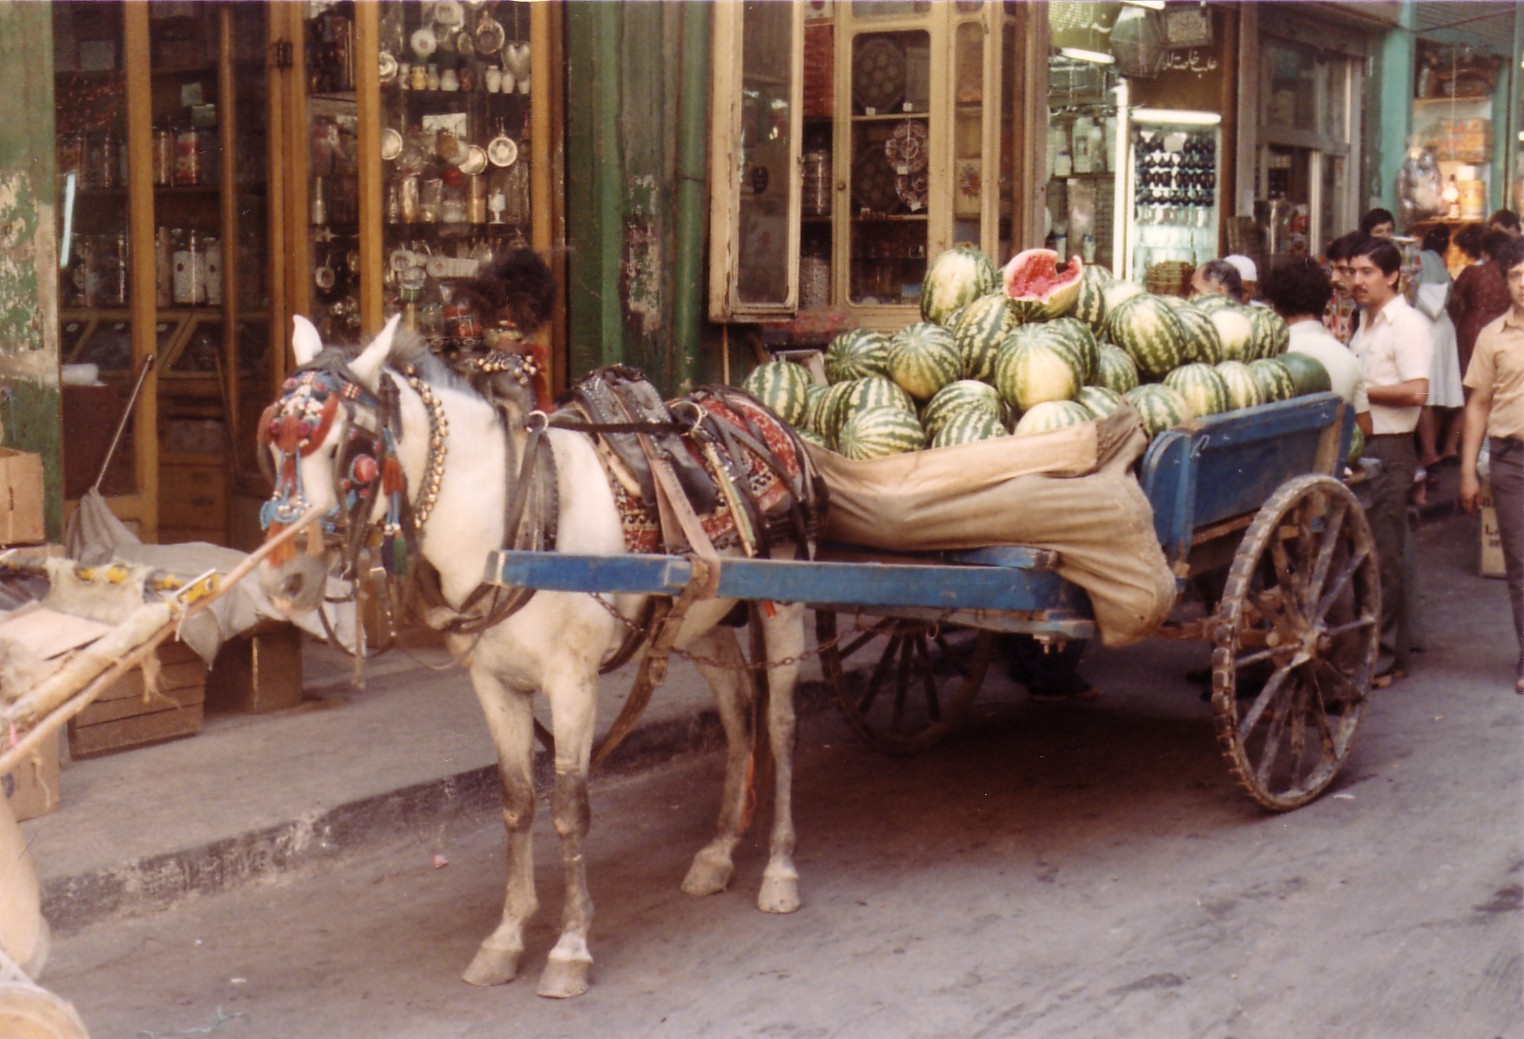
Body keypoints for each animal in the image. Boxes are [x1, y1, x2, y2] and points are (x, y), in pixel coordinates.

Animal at [256, 315, 816, 993]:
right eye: (275, 444)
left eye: (349, 449)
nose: (284, 581)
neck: (509, 523)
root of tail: (748, 405)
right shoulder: (494, 682)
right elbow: (517, 801)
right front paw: (507, 936)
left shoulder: (573, 682)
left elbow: (569, 806)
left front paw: (570, 947)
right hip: (699, 619)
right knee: (738, 714)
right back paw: (719, 852)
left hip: (786, 601)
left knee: (780, 725)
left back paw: (779, 868)